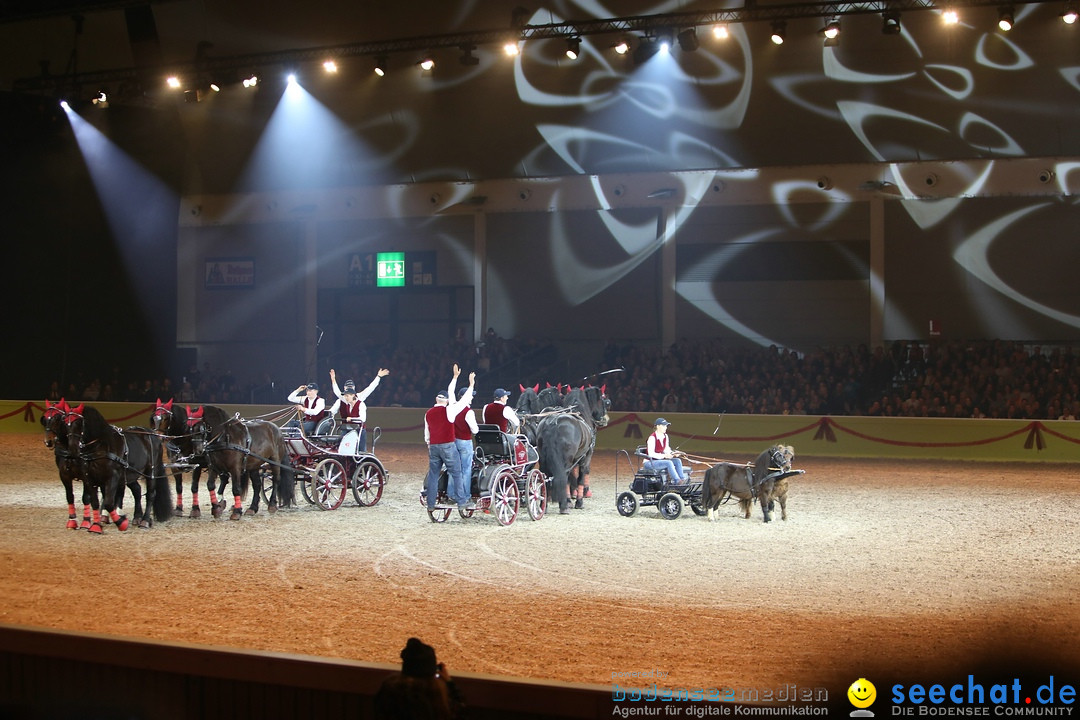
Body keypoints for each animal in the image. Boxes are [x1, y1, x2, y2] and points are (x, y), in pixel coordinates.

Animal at [63, 405, 170, 535]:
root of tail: (153, 434)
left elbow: (109, 503)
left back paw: (144, 520)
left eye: (79, 423)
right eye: (65, 423)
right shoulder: (90, 478)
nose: (72, 450)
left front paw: (121, 523)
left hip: (151, 471)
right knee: (137, 490)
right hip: (130, 474)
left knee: (150, 494)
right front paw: (96, 526)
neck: (102, 447)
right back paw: (137, 517)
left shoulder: (112, 478)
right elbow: (95, 502)